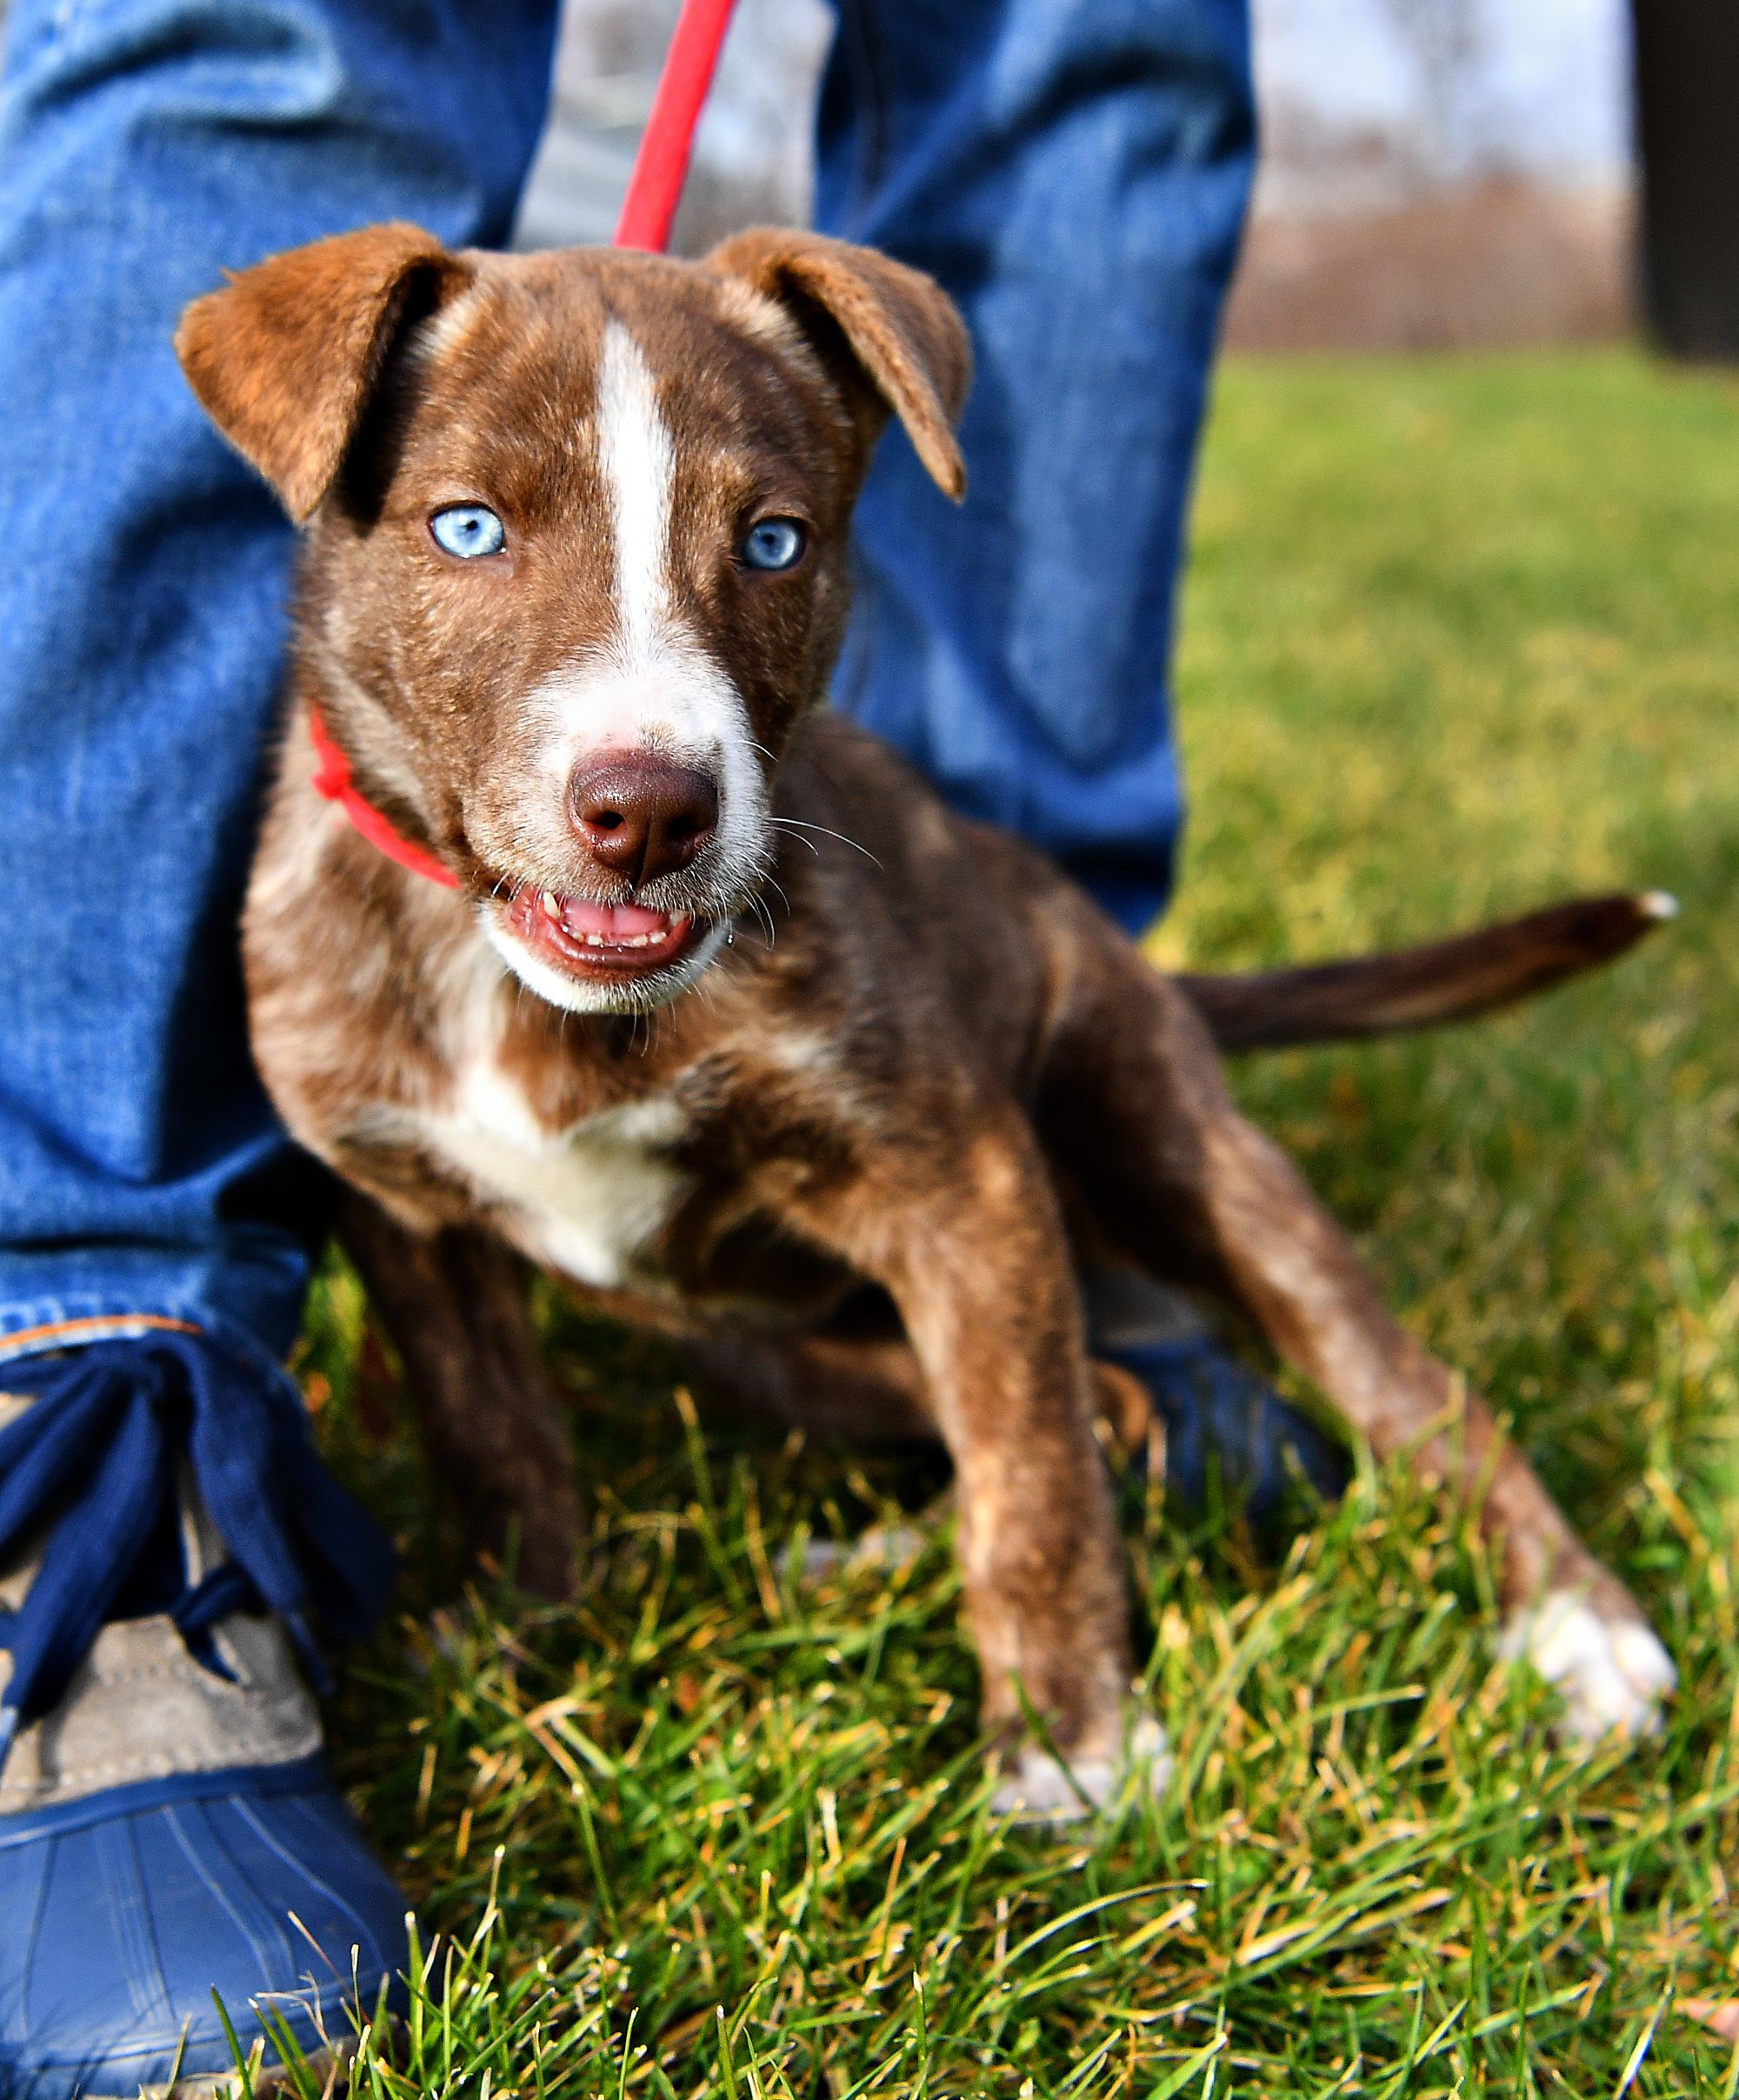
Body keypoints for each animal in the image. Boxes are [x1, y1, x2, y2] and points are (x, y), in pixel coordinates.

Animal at [176, 225, 1671, 1805]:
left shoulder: (962, 1175)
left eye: (774, 542)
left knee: (1375, 1382)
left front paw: (1073, 1745)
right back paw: (865, 1558)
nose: (650, 811)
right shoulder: (403, 1210)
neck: (530, 992)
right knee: (1099, 1400)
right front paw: (510, 1638)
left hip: (1166, 1137)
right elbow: (493, 1430)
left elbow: (1029, 1464)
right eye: (468, 529)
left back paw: (1578, 1627)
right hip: (763, 1340)